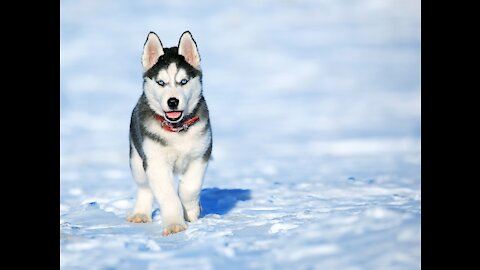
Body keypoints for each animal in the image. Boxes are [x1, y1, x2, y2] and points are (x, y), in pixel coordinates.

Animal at [127, 31, 212, 236]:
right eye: (161, 82)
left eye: (183, 81)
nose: (173, 101)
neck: (177, 129)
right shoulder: (155, 163)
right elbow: (168, 196)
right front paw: (175, 224)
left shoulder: (200, 155)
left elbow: (190, 187)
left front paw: (191, 210)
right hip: (137, 160)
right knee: (144, 187)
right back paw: (140, 213)